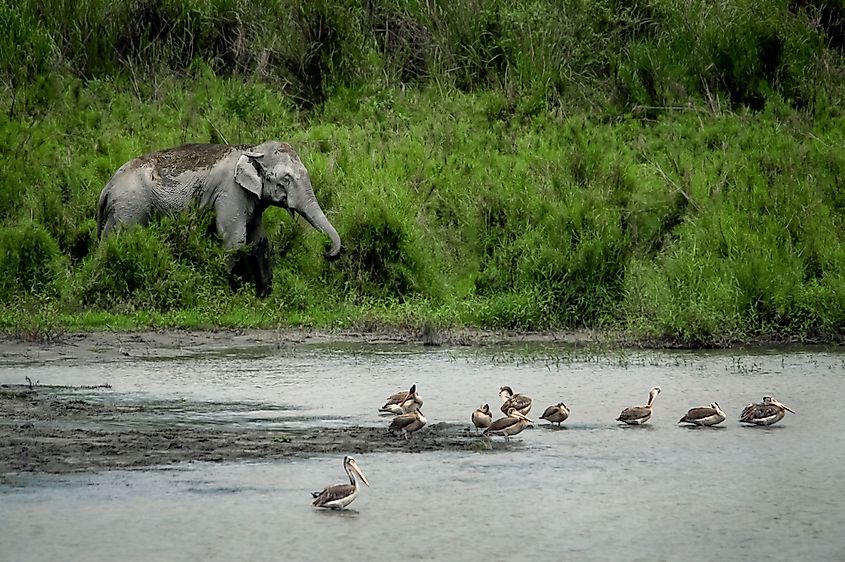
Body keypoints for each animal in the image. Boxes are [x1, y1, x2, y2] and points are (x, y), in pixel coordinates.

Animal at [95, 140, 340, 296]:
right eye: (286, 179)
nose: (327, 251)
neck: (251, 148)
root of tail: (106, 187)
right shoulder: (230, 192)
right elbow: (234, 239)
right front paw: (231, 294)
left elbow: (259, 241)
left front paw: (265, 296)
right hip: (128, 208)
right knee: (116, 239)